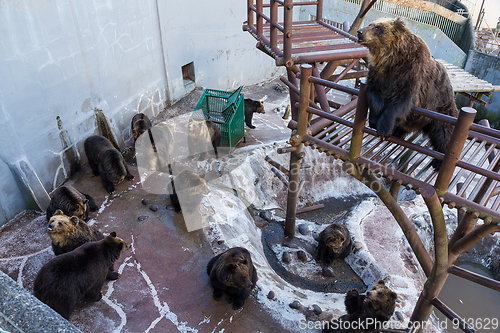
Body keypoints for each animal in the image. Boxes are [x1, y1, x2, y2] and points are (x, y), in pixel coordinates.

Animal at [358, 17, 458, 169]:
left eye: (378, 27)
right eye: (370, 23)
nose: (360, 32)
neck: (391, 59)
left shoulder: (411, 74)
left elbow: (401, 102)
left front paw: (384, 129)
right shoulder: (378, 74)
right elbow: (374, 95)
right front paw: (374, 121)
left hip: (441, 108)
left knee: (444, 133)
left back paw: (439, 161)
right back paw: (397, 131)